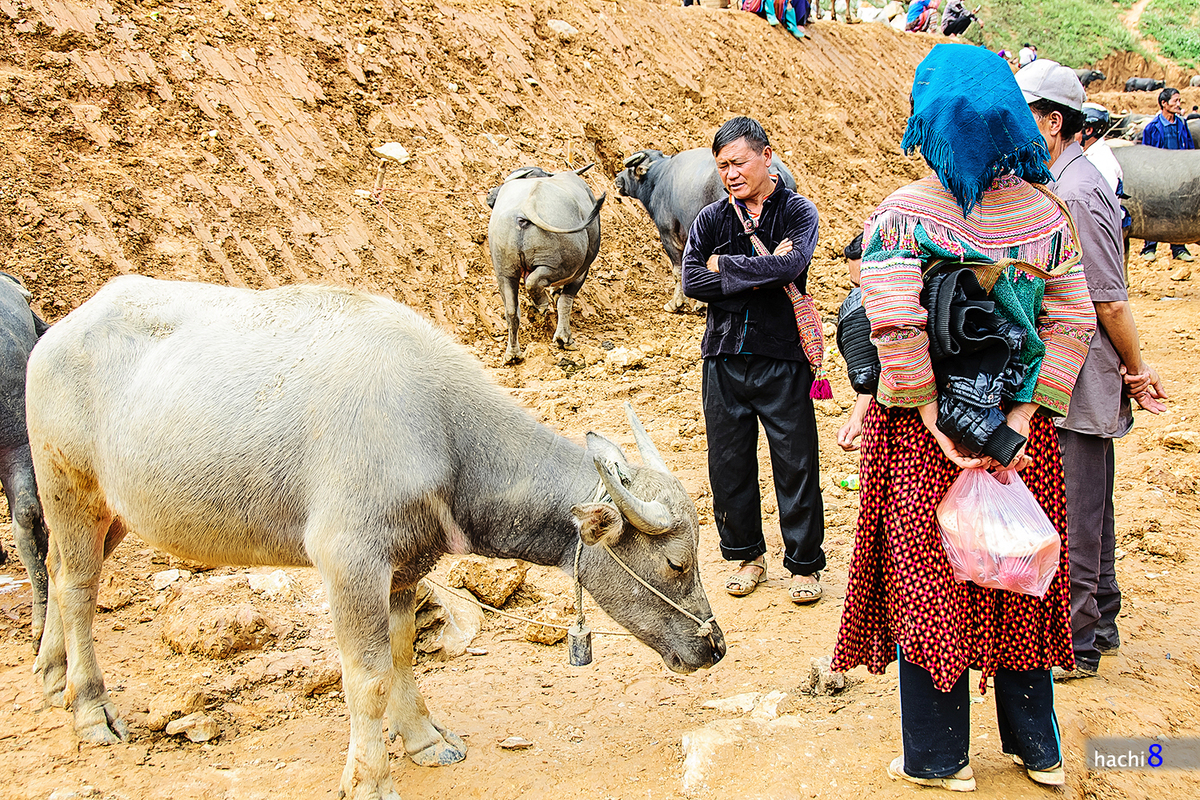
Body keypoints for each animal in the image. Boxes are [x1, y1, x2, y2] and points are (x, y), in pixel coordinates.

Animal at [25, 275, 720, 800]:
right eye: (677, 562)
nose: (713, 647)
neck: (444, 434)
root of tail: (56, 331)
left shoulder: (406, 566)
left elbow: (405, 654)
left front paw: (423, 738)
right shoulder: (350, 563)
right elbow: (368, 678)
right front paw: (369, 779)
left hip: (116, 510)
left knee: (60, 572)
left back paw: (50, 674)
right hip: (67, 485)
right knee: (79, 585)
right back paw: (89, 707)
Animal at [484, 163, 604, 362]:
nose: (490, 194)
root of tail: (526, 207)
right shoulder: (582, 270)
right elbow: (565, 301)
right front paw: (564, 339)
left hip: (504, 270)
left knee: (511, 310)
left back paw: (513, 353)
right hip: (560, 265)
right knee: (535, 283)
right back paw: (541, 305)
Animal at [609, 146, 796, 311]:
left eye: (630, 169)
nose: (617, 178)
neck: (658, 177)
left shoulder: (668, 234)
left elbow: (678, 270)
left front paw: (676, 303)